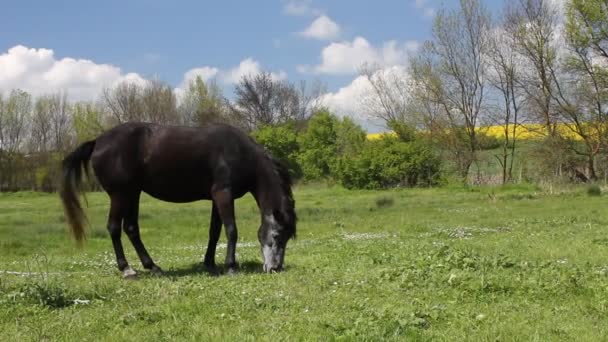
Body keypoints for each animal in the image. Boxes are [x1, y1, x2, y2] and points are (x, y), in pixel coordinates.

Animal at [59, 121, 296, 280]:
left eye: (287, 238)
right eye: (276, 235)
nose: (275, 268)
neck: (238, 152)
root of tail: (98, 141)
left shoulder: (215, 198)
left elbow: (214, 231)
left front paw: (210, 264)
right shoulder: (223, 195)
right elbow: (231, 230)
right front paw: (231, 266)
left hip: (133, 193)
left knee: (131, 228)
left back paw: (152, 266)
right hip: (120, 195)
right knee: (114, 228)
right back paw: (127, 269)